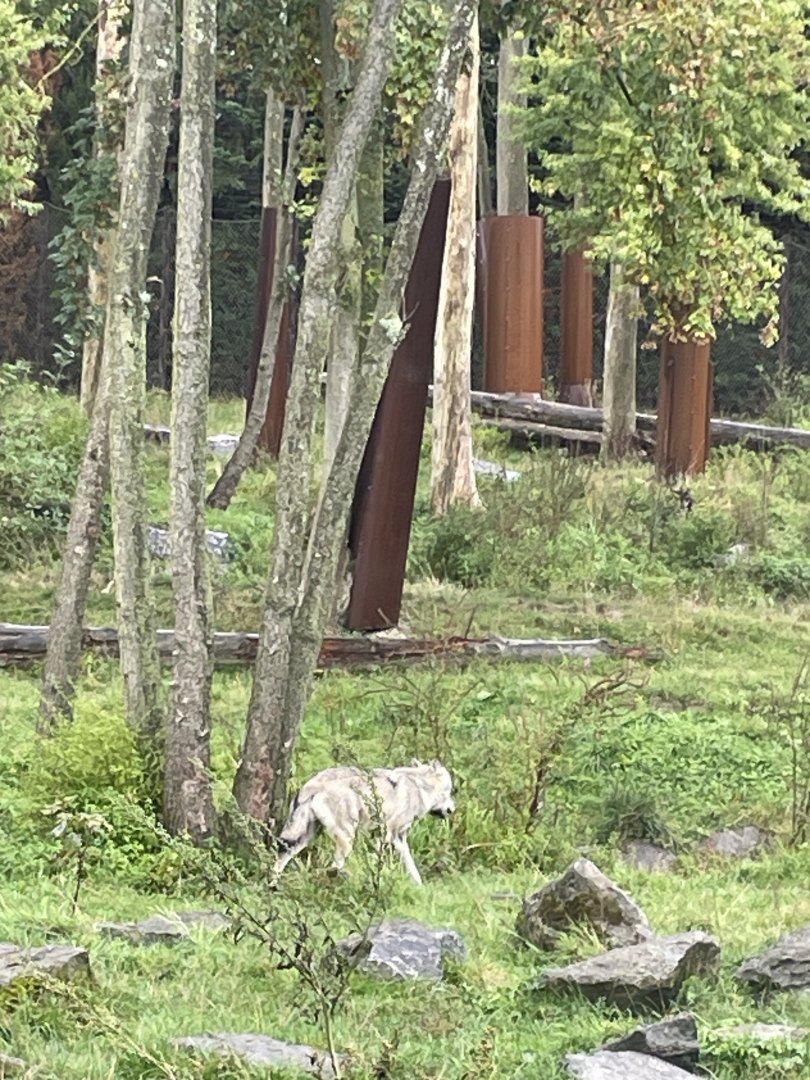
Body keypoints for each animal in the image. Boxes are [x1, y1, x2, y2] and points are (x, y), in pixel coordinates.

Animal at [273, 759, 455, 886]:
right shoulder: (393, 836)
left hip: (304, 838)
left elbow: (408, 864)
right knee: (333, 867)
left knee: (281, 858)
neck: (418, 787)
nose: (453, 809)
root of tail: (315, 786)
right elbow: (398, 862)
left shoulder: (386, 836)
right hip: (346, 840)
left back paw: (274, 887)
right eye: (450, 791)